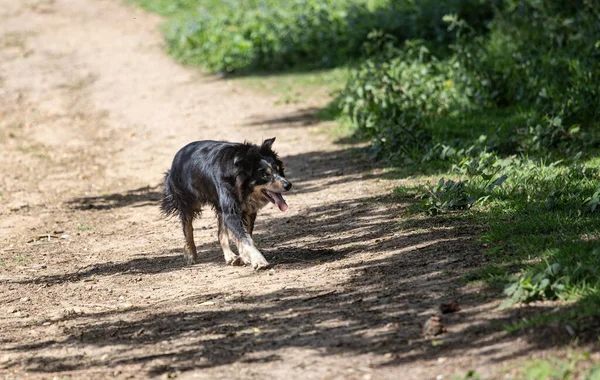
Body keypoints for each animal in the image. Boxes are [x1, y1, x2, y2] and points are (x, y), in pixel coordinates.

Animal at [159, 138, 290, 268]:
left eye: (278, 170)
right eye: (265, 175)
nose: (288, 185)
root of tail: (178, 155)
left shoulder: (248, 210)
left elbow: (245, 234)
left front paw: (244, 257)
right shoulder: (230, 206)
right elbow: (244, 237)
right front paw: (259, 261)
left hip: (219, 207)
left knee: (220, 233)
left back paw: (230, 257)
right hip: (187, 200)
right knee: (188, 228)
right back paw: (191, 254)